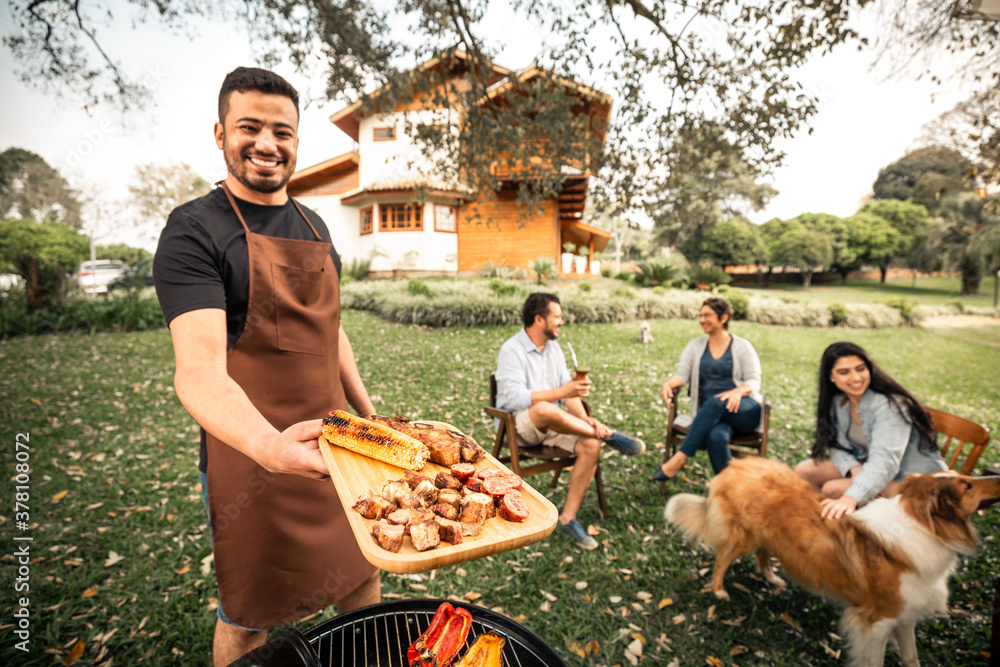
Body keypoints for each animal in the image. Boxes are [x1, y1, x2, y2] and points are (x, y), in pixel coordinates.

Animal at [664, 460, 1000, 667]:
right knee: (722, 558)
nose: (994, 473)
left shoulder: (905, 616)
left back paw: (771, 578)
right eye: (968, 486)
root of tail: (738, 463)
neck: (922, 525)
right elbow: (875, 660)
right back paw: (718, 590)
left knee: (762, 555)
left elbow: (911, 657)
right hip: (743, 535)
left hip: (767, 536)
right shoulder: (875, 622)